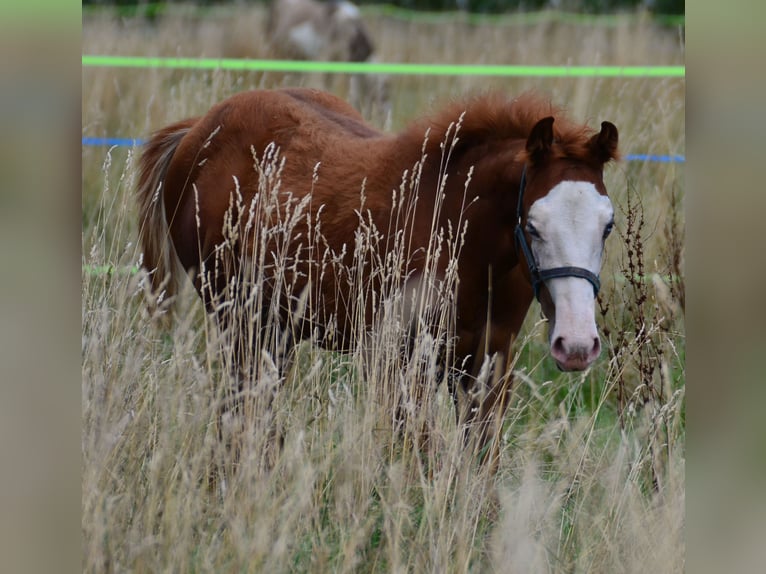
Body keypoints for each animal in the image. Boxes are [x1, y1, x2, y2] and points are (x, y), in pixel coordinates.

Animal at [136, 87, 618, 469]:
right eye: (532, 226)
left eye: (608, 226)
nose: (577, 345)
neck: (458, 230)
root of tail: (199, 129)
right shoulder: (398, 362)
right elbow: (420, 455)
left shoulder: (489, 361)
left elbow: (480, 460)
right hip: (237, 318)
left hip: (277, 327)